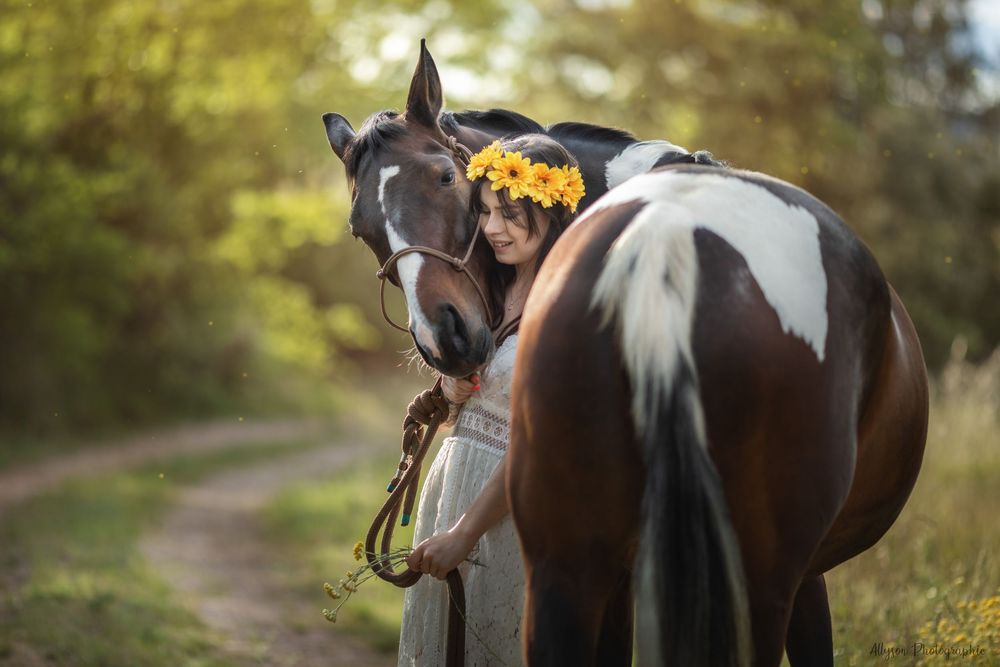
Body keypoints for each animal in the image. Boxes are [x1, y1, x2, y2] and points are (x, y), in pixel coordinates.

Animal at [322, 42, 929, 666]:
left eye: (446, 177)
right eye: (361, 229)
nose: (445, 339)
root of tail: (664, 239)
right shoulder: (803, 576)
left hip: (574, 565)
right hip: (747, 582)